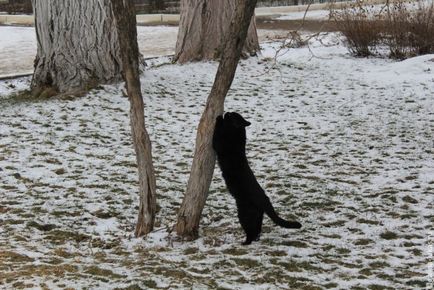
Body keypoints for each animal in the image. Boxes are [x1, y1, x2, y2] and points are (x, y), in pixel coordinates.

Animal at [213, 111, 302, 245]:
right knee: (257, 231)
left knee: (251, 231)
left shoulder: (218, 143)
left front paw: (219, 119)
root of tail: (265, 199)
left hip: (245, 215)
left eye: (232, 115)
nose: (227, 112)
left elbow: (216, 133)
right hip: (257, 217)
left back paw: (245, 243)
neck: (237, 133)